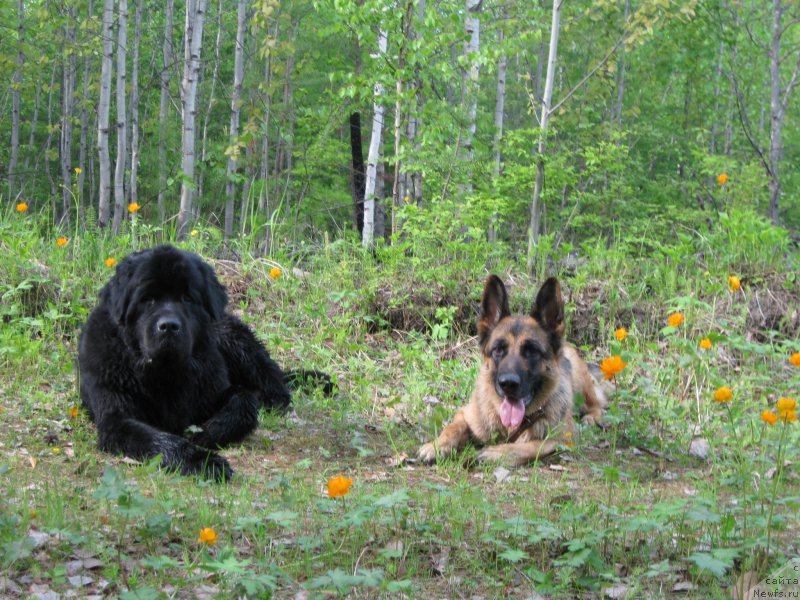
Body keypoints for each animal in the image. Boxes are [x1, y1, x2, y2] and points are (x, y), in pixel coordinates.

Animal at [76, 243, 324, 478]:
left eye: (187, 298)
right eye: (148, 299)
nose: (169, 326)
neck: (165, 375)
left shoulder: (212, 391)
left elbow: (244, 402)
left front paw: (207, 433)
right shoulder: (117, 420)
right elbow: (161, 440)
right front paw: (203, 461)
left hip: (232, 336)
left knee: (276, 389)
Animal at [418, 274, 608, 466]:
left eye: (532, 351)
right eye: (498, 350)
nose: (508, 383)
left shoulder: (562, 440)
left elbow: (530, 446)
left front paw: (496, 452)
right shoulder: (465, 414)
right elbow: (452, 428)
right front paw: (436, 446)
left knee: (597, 403)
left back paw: (592, 417)